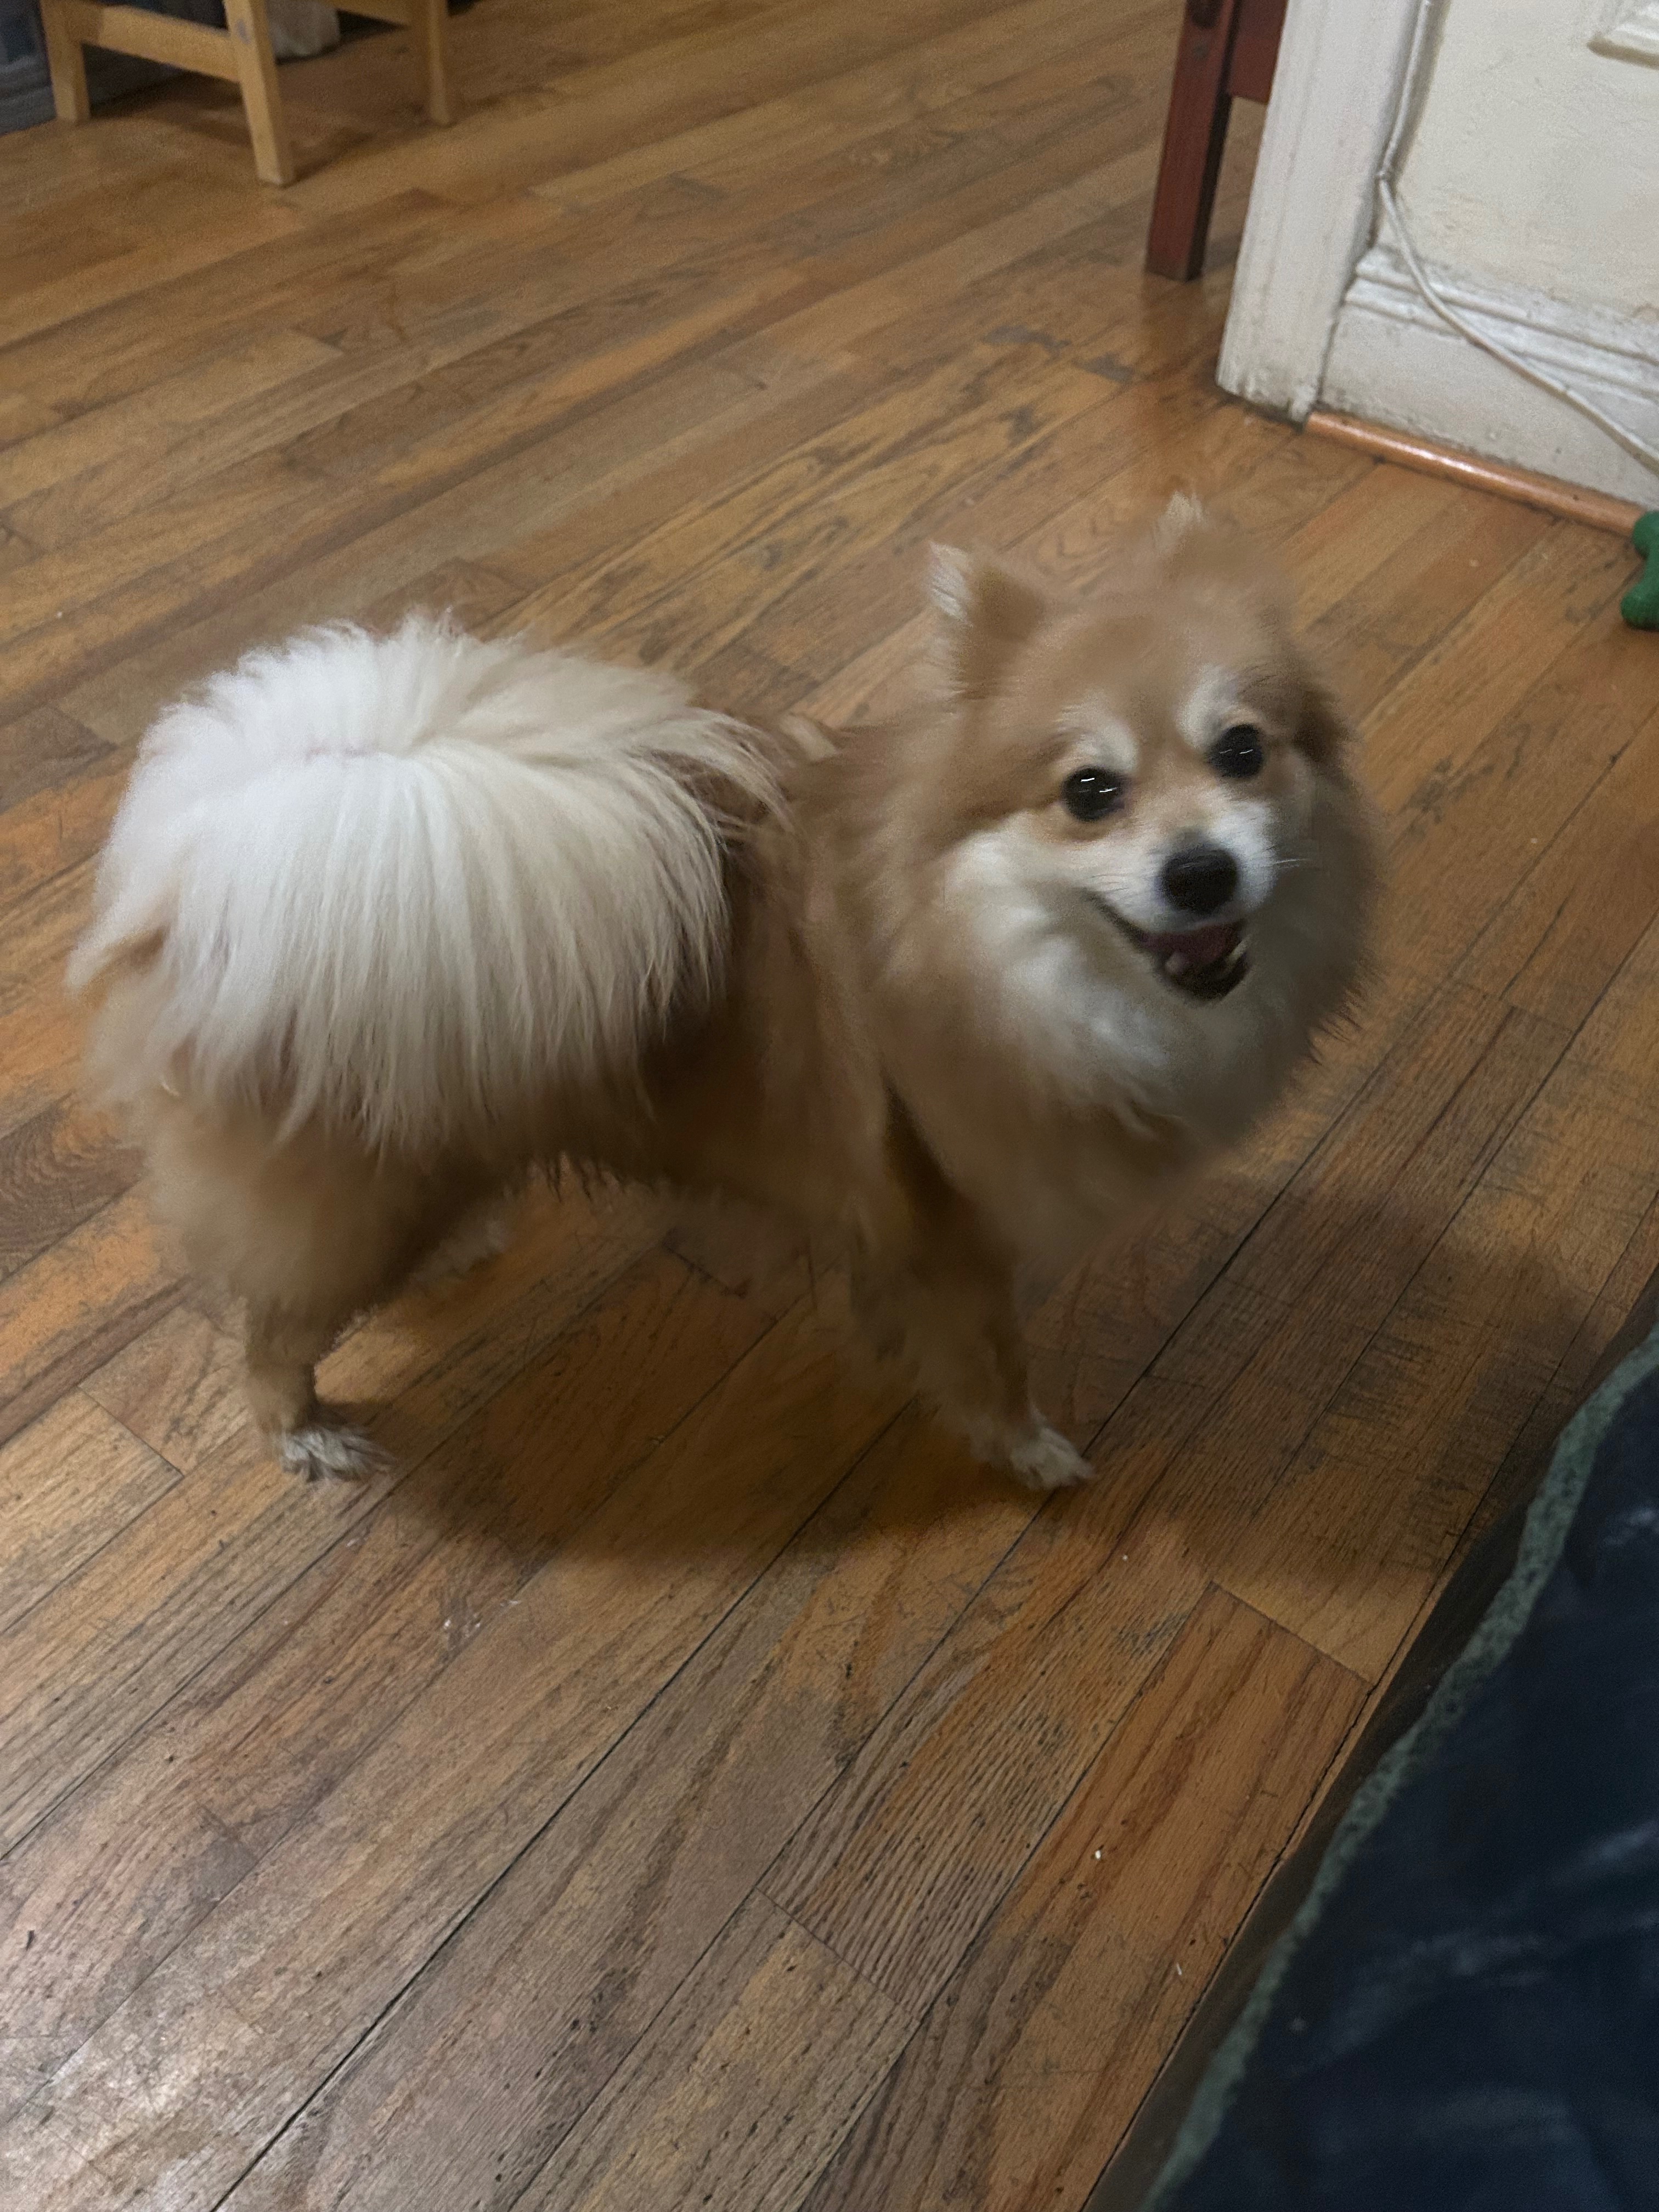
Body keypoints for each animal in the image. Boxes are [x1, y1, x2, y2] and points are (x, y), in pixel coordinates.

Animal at [69, 499, 1379, 1490]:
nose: (1201, 869)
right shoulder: (949, 1237)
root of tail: (208, 864)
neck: (994, 949)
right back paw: (303, 1432)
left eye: (1244, 752)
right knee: (269, 1332)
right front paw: (1031, 1455)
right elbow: (995, 1368)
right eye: (1091, 793)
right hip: (344, 1200)